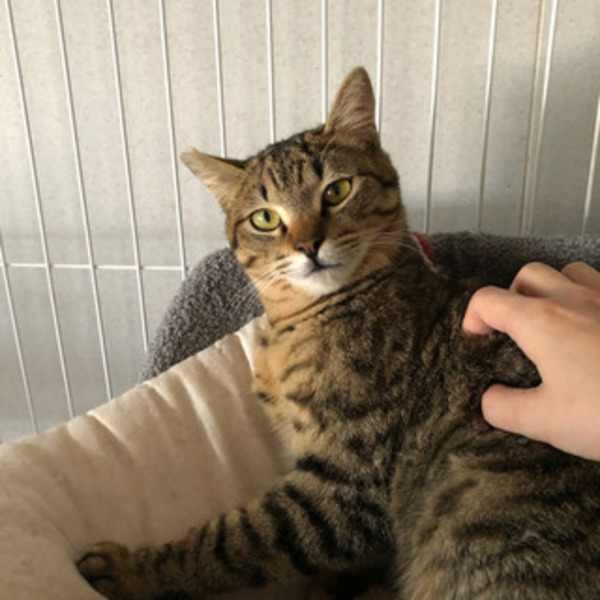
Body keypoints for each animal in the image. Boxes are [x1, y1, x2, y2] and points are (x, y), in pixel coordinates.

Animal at [77, 67, 600, 599]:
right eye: (265, 217)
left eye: (337, 190)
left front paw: (132, 570)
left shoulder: (344, 484)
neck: (296, 323)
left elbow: (230, 541)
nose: (308, 244)